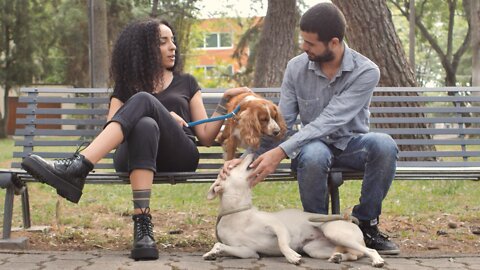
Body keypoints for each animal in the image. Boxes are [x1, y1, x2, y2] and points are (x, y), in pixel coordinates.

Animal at [202, 154, 386, 268]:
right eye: (235, 166)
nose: (249, 152)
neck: (238, 213)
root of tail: (349, 220)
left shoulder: (277, 227)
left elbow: (283, 244)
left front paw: (291, 256)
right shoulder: (248, 251)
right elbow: (220, 244)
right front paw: (212, 253)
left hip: (334, 232)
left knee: (368, 251)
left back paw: (376, 260)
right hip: (314, 249)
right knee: (352, 254)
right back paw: (337, 257)